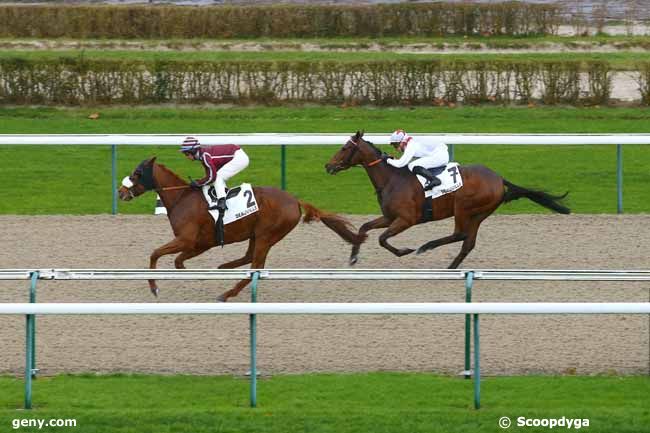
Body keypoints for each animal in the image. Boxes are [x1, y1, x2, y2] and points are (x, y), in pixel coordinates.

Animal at [117, 156, 364, 300]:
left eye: (137, 173)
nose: (121, 191)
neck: (181, 198)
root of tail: (295, 200)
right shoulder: (201, 243)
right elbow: (177, 261)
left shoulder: (188, 240)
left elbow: (155, 254)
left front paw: (154, 288)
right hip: (256, 234)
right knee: (249, 258)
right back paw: (224, 267)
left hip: (266, 235)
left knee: (256, 266)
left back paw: (227, 293)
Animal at [324, 131, 568, 266]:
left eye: (344, 148)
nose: (328, 166)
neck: (392, 178)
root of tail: (499, 178)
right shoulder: (389, 217)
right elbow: (364, 228)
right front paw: (353, 257)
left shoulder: (406, 219)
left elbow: (382, 239)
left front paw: (404, 251)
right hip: (480, 213)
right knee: (467, 242)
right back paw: (450, 268)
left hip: (463, 207)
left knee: (460, 234)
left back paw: (426, 246)